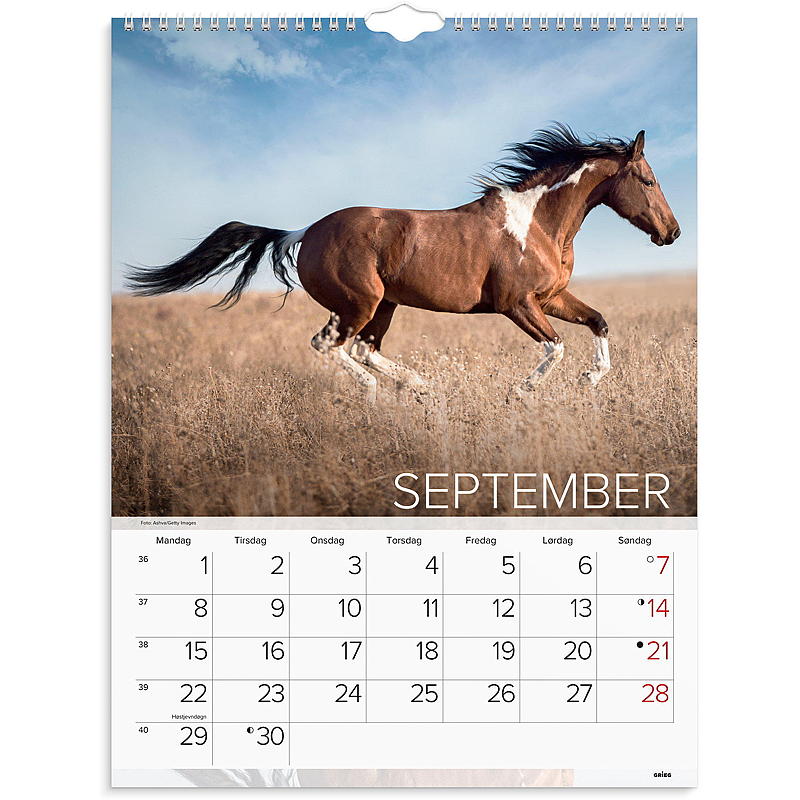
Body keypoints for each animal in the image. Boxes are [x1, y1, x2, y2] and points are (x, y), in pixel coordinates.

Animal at [128, 123, 680, 404]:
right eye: (649, 180)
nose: (672, 232)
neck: (537, 222)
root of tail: (303, 232)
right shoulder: (517, 303)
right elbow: (557, 347)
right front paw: (522, 392)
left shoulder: (552, 297)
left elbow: (598, 322)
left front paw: (591, 380)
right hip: (360, 302)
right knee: (331, 345)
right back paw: (378, 393)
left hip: (385, 306)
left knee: (364, 348)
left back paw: (418, 384)